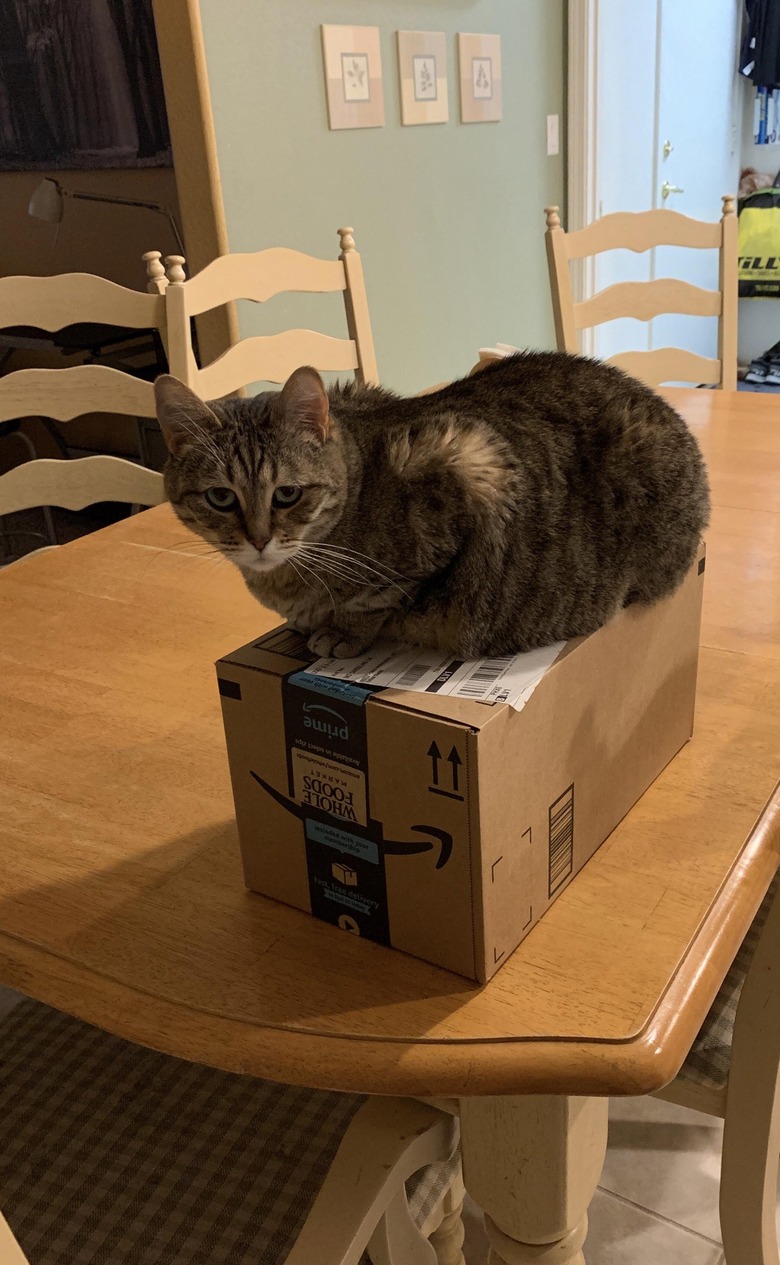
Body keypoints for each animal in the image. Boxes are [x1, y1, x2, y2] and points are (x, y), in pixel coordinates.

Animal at [154, 351, 707, 657]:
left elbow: (372, 601)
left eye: (286, 493)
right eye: (221, 497)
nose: (259, 540)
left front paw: (341, 633)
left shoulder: (468, 465)